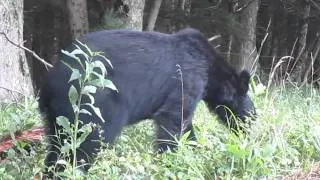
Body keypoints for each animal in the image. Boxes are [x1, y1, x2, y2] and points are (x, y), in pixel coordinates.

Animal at [39, 28, 255, 174]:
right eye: (249, 111)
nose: (251, 126)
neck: (210, 68)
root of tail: (48, 83)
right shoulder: (186, 80)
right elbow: (173, 121)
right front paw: (169, 160)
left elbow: (186, 126)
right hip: (94, 104)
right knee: (87, 145)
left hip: (57, 116)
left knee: (57, 147)